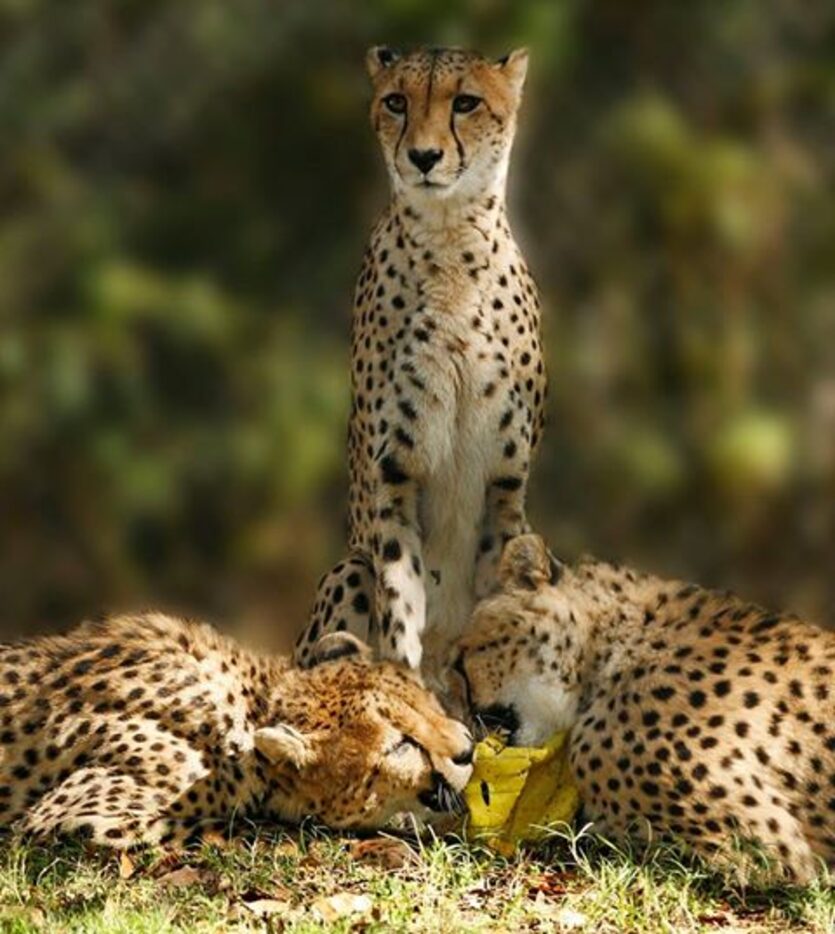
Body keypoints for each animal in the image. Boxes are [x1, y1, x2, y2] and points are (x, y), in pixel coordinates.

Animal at [296, 47, 548, 676]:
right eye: (396, 102)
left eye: (466, 102)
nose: (424, 156)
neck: (449, 241)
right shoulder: (394, 480)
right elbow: (400, 599)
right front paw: (407, 675)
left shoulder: (506, 489)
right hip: (346, 568)